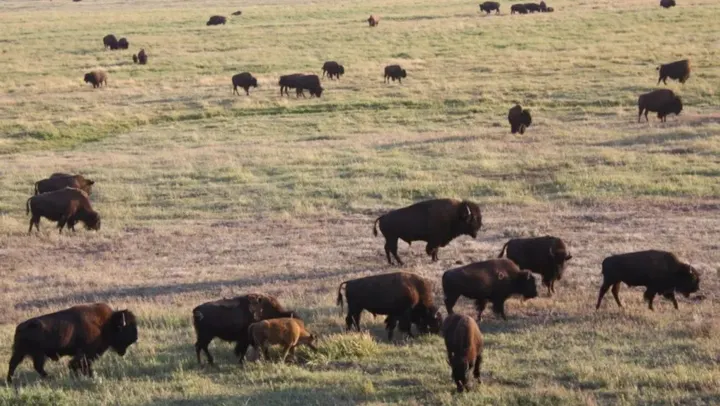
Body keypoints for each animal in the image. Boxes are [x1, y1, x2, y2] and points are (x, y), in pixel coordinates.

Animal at [7, 303, 137, 383]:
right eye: (126, 329)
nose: (135, 338)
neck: (105, 324)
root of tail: (21, 327)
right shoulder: (87, 353)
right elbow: (78, 364)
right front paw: (89, 375)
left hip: (22, 352)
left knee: (15, 364)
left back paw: (10, 381)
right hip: (36, 354)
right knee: (34, 366)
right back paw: (49, 377)